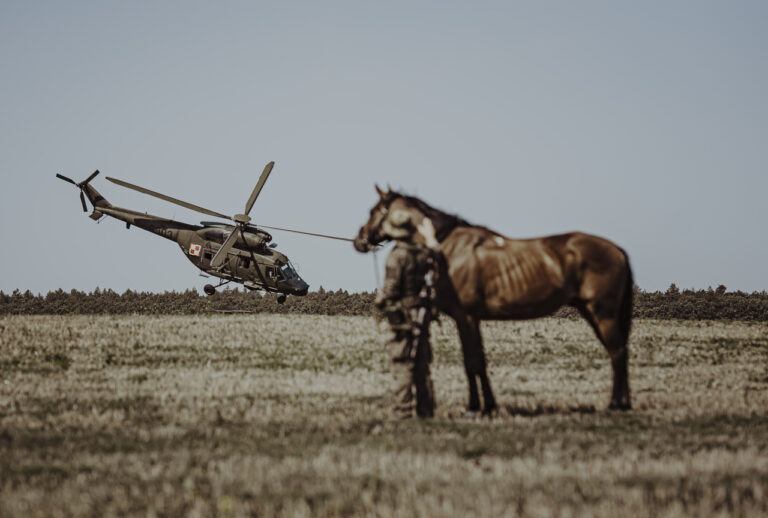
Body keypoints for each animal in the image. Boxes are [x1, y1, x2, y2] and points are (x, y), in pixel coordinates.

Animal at [356, 187, 636, 418]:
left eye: (373, 210)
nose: (360, 239)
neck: (447, 247)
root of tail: (618, 250)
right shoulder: (472, 319)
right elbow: (478, 361)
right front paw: (488, 405)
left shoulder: (466, 316)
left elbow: (472, 362)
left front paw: (474, 407)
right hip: (592, 313)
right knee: (617, 352)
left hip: (603, 314)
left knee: (617, 352)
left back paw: (616, 404)